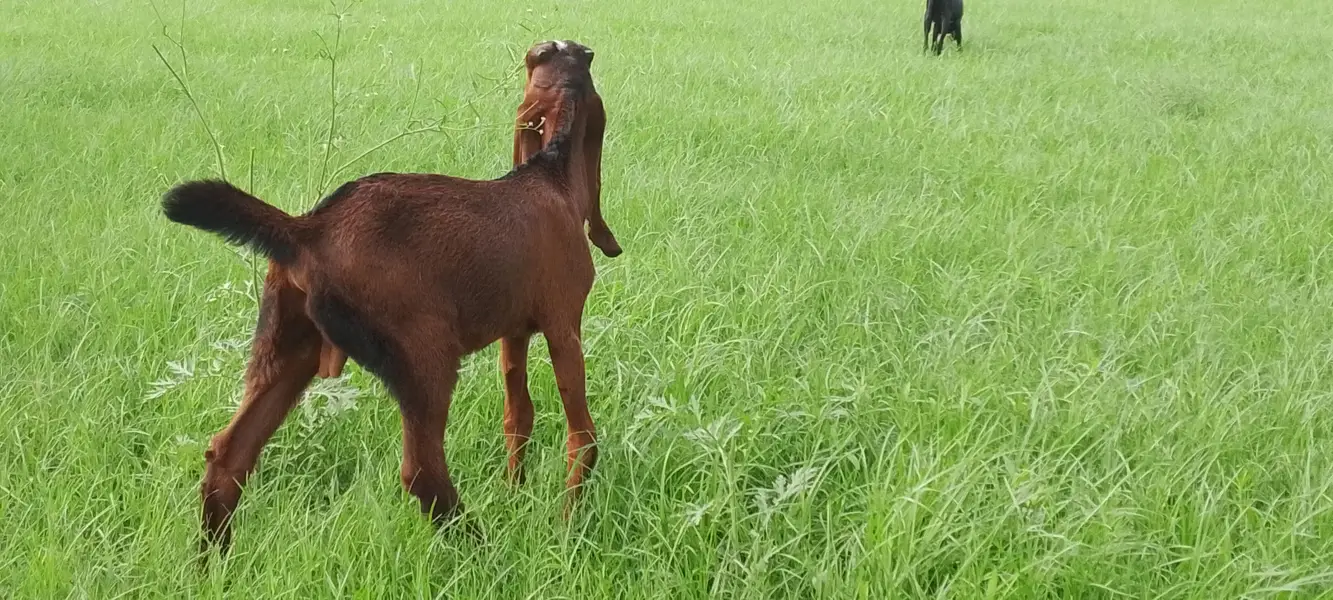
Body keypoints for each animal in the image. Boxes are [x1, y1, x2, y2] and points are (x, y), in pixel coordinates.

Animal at [162, 39, 620, 555]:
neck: (550, 175)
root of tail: (307, 231)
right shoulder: (564, 324)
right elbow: (582, 436)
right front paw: (568, 524)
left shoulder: (514, 332)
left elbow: (517, 416)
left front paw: (515, 494)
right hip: (425, 359)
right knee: (422, 472)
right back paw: (484, 550)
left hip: (287, 349)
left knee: (228, 456)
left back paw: (211, 563)